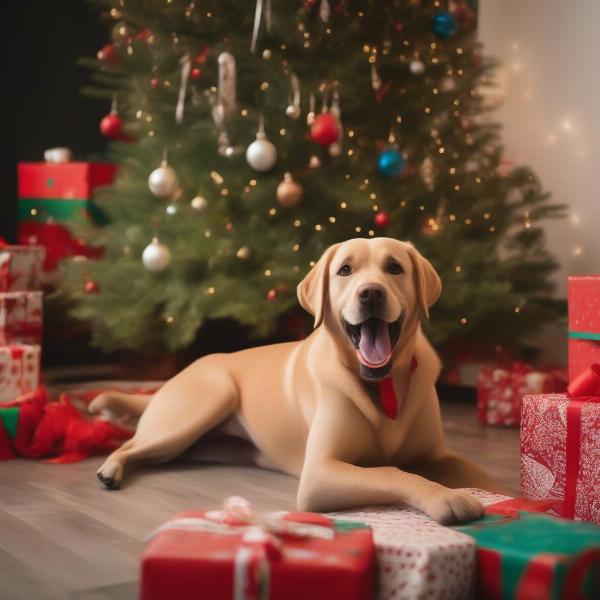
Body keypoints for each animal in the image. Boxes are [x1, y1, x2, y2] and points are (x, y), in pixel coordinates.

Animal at [92, 237, 496, 524]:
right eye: (345, 270)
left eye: (394, 267)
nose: (371, 293)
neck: (381, 383)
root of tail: (176, 376)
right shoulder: (320, 473)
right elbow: (392, 471)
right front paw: (445, 496)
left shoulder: (437, 455)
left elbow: (483, 475)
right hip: (202, 406)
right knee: (129, 443)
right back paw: (110, 469)